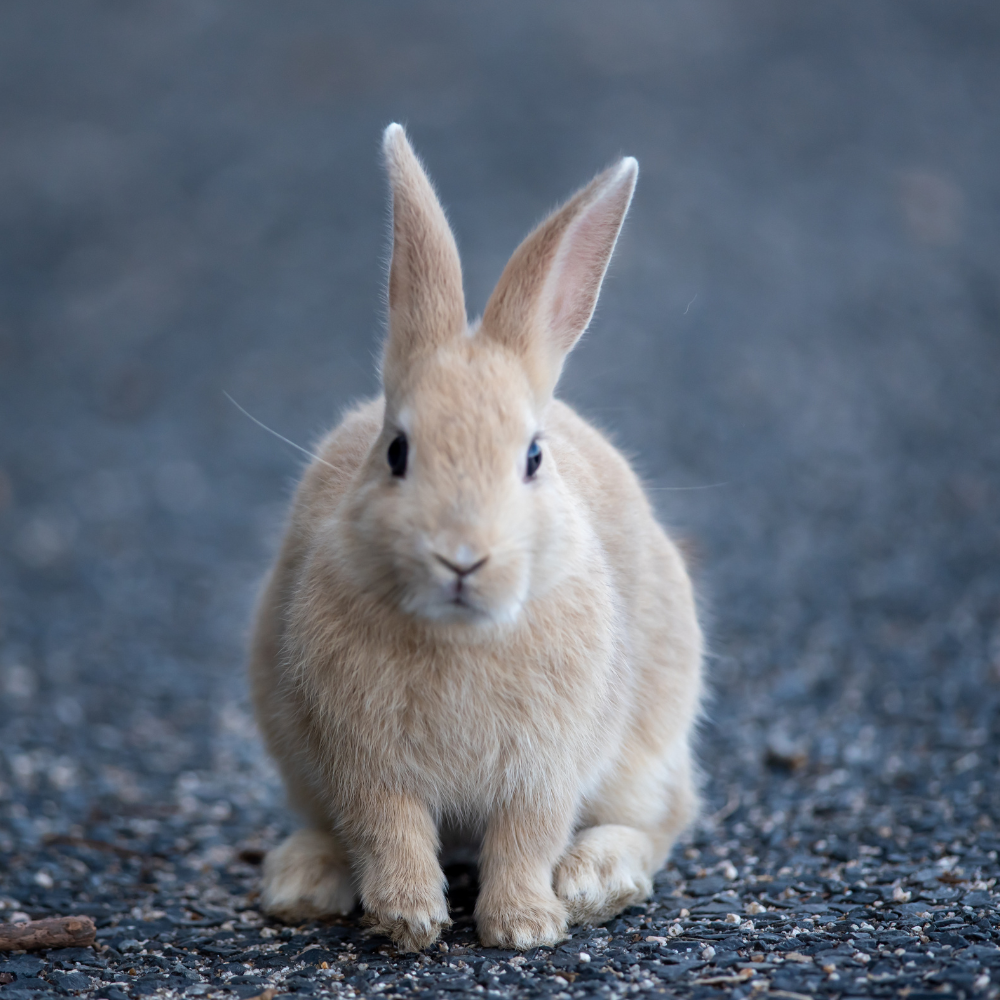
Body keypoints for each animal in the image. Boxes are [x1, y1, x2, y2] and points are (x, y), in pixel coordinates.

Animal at [249, 125, 704, 952]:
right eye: (397, 452)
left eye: (533, 457)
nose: (463, 557)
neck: (459, 634)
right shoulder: (366, 764)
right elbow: (389, 828)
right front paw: (409, 918)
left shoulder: (545, 768)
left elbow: (528, 836)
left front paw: (524, 926)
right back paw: (302, 883)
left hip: (648, 750)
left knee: (662, 821)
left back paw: (594, 880)